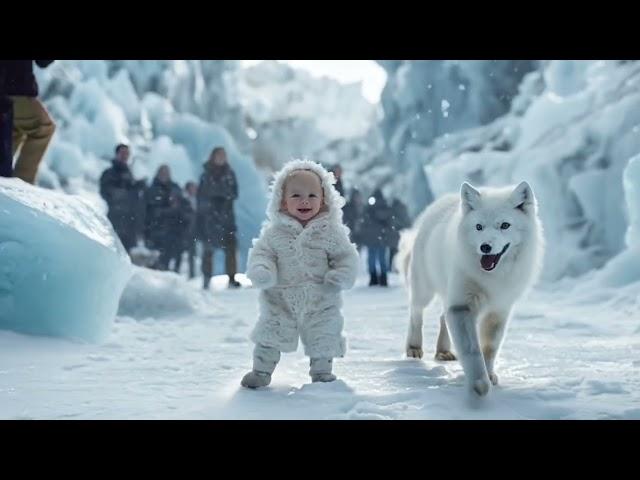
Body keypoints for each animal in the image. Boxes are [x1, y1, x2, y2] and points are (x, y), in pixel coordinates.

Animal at [400, 182, 544, 396]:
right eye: (479, 227)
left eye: (505, 225)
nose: (485, 247)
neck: (492, 278)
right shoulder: (461, 307)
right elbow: (471, 350)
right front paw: (480, 384)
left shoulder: (498, 311)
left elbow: (489, 348)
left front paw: (489, 375)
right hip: (425, 290)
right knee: (415, 313)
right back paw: (413, 347)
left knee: (442, 316)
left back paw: (443, 351)